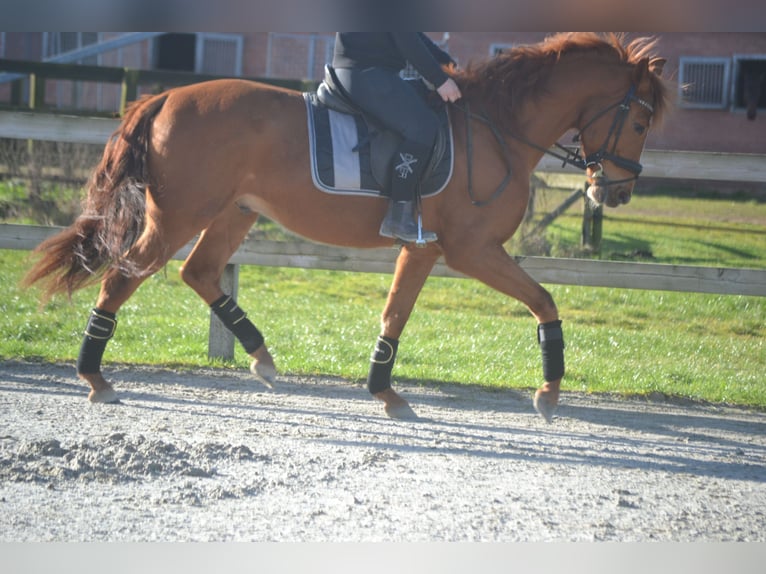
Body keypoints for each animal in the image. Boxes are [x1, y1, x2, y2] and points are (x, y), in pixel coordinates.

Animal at [24, 35, 668, 424]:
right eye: (639, 122)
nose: (616, 191)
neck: (496, 128)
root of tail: (163, 97)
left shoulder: (431, 250)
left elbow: (401, 314)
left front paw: (384, 390)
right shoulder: (466, 249)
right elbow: (540, 301)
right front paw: (548, 393)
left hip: (234, 212)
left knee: (200, 272)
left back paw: (262, 359)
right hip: (179, 215)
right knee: (121, 280)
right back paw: (95, 377)